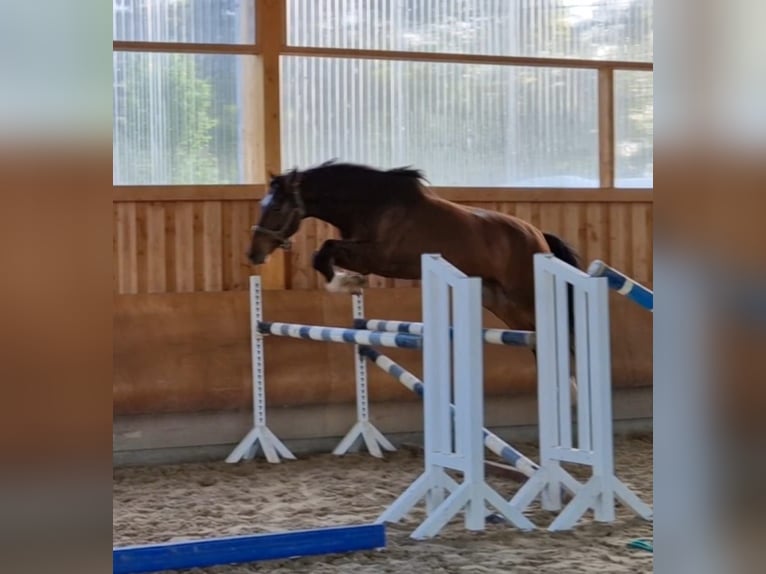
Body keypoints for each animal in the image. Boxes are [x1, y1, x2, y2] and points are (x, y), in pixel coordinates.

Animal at [248, 161, 584, 338]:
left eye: (276, 208)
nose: (252, 254)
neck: (371, 204)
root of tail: (539, 236)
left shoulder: (377, 257)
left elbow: (324, 251)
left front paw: (346, 283)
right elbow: (325, 253)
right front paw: (350, 284)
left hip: (526, 295)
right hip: (501, 303)